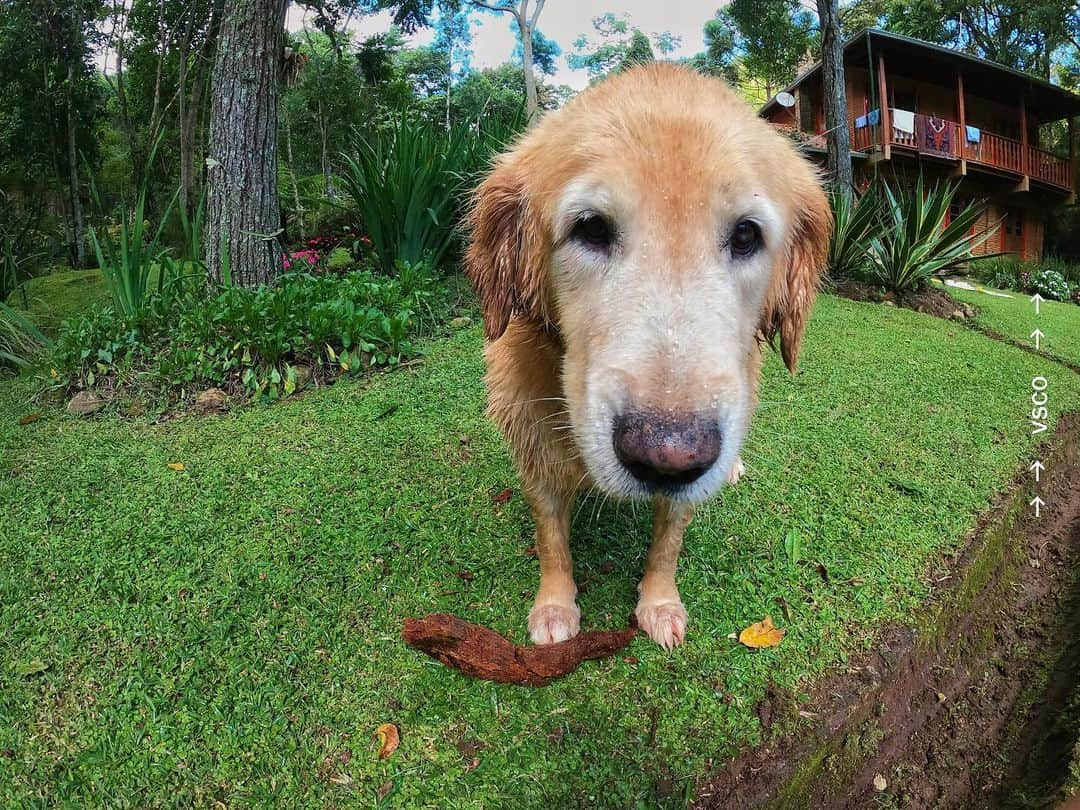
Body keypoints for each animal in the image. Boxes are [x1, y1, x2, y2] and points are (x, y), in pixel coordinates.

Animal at [462, 63, 825, 652]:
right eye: (590, 227)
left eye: (746, 235)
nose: (667, 459)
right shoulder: (534, 447)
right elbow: (550, 537)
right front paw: (555, 606)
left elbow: (669, 539)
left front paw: (659, 603)